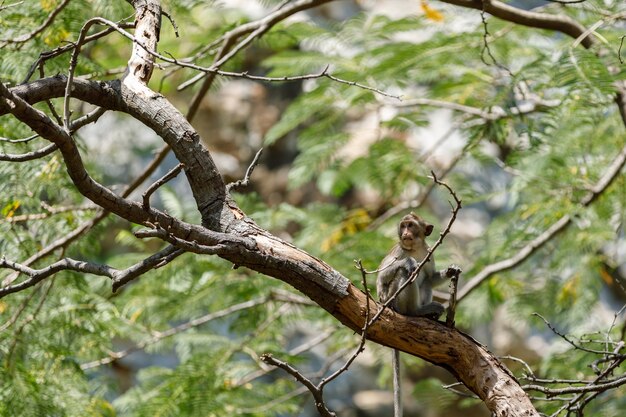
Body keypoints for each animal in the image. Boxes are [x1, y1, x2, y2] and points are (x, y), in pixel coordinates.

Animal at [376, 213, 458, 416]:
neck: (414, 249)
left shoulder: (429, 252)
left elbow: (431, 277)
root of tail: (386, 305)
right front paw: (409, 262)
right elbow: (382, 277)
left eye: (411, 225)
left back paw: (428, 313)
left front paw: (450, 270)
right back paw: (415, 311)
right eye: (403, 225)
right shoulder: (399, 250)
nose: (405, 233)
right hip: (393, 300)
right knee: (405, 274)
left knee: (426, 281)